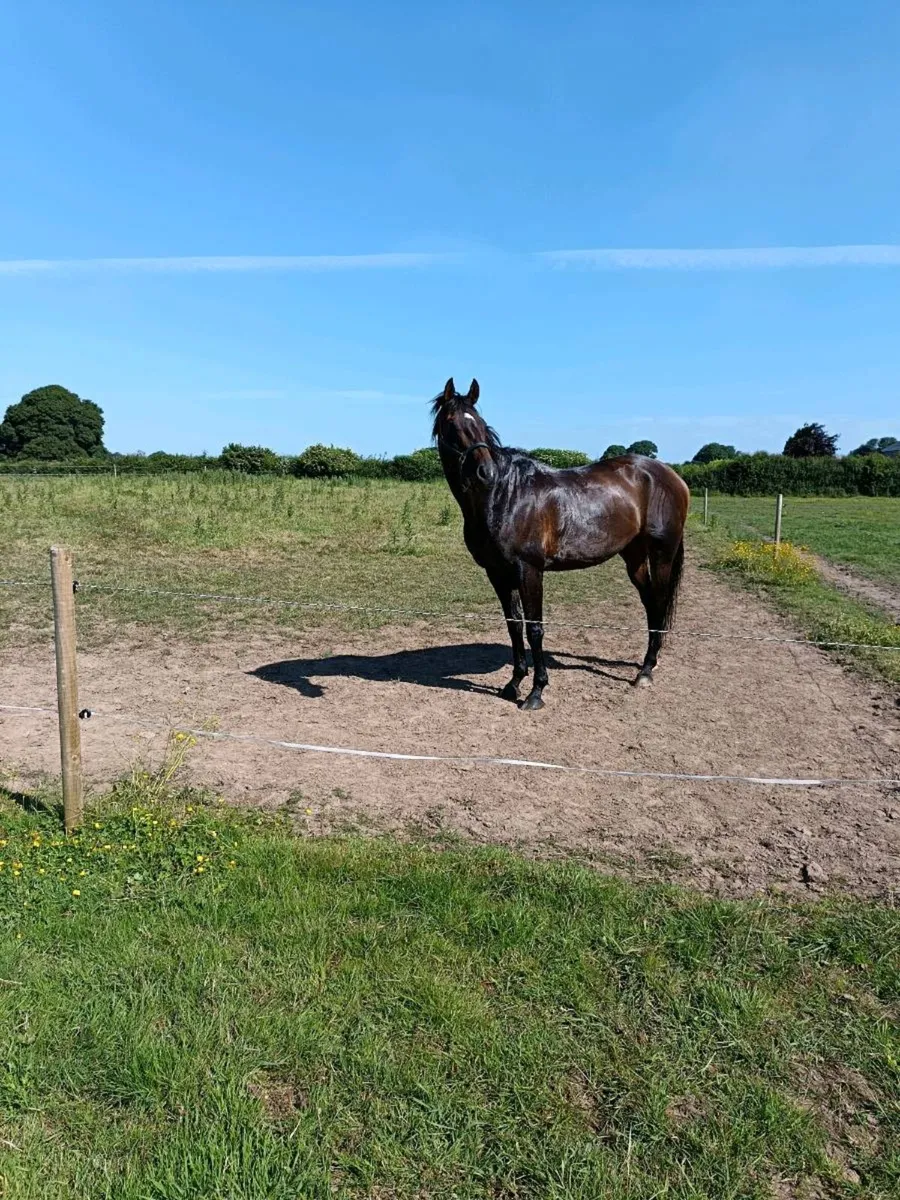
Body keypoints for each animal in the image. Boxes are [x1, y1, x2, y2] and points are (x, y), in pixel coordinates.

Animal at [432, 377, 689, 710]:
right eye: (451, 423)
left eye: (479, 423)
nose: (485, 473)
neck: (505, 495)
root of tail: (672, 476)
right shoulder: (497, 573)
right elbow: (514, 625)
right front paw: (513, 684)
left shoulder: (529, 570)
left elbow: (535, 628)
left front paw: (536, 692)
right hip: (633, 556)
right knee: (649, 602)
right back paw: (649, 663)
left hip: (661, 553)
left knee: (658, 600)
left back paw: (645, 672)